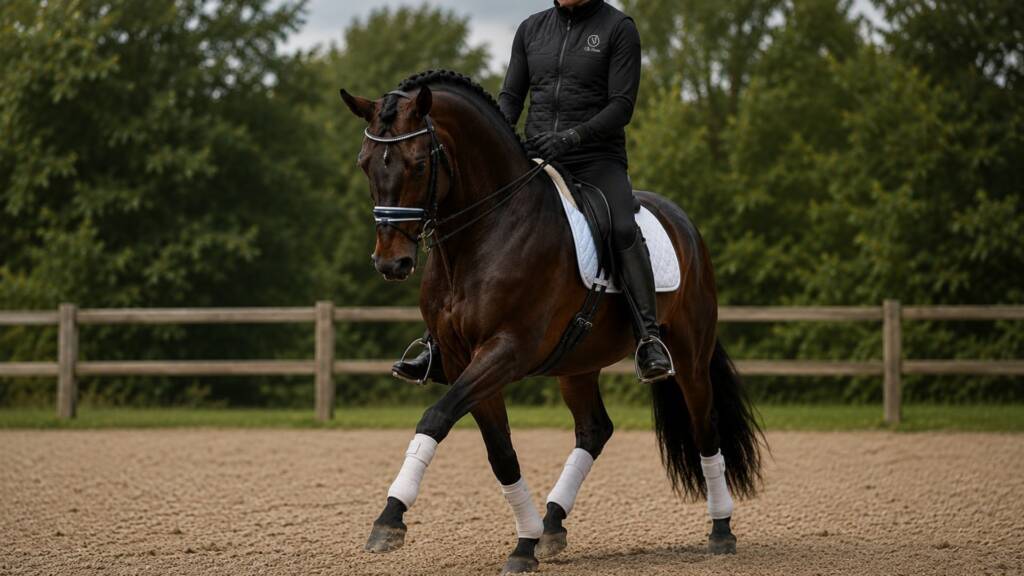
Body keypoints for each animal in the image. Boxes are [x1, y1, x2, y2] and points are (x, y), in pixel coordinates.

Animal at [339, 69, 765, 575]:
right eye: (365, 164)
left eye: (420, 164)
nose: (392, 263)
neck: (486, 232)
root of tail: (684, 223)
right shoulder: (465, 359)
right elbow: (500, 452)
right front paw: (524, 541)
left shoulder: (507, 350)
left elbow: (436, 417)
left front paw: (390, 517)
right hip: (578, 364)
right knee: (595, 430)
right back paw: (551, 525)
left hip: (689, 354)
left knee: (705, 426)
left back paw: (721, 530)